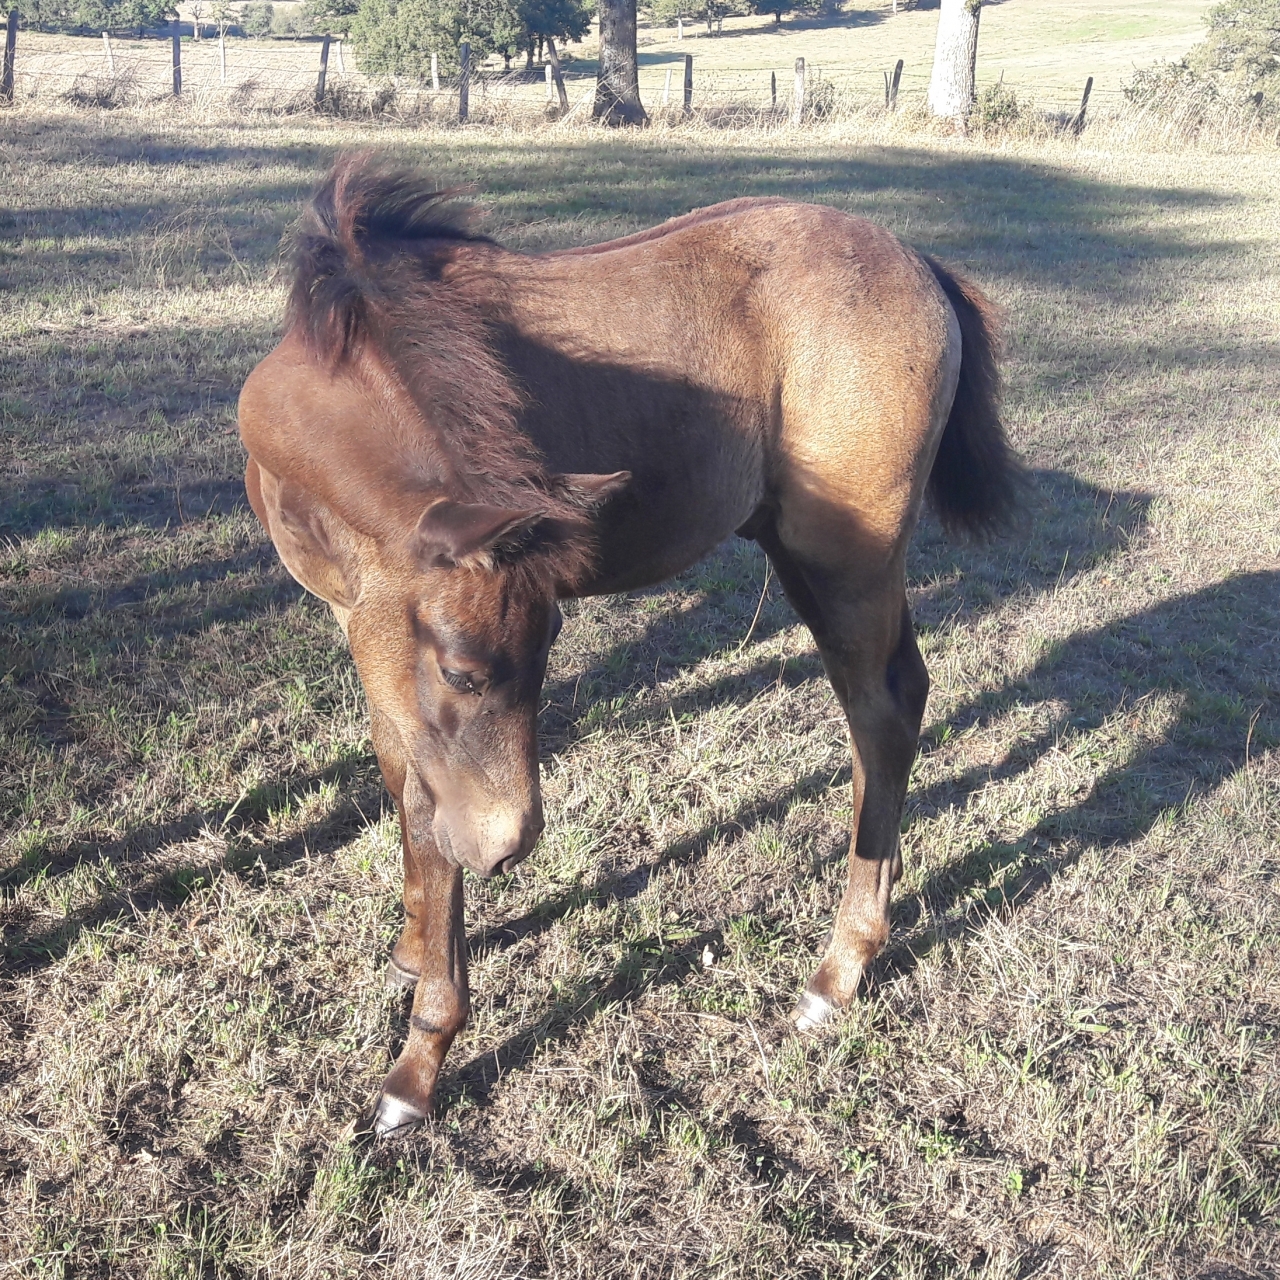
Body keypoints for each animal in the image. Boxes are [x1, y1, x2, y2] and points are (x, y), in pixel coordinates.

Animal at [238, 153, 1019, 1136]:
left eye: (511, 657)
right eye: (465, 667)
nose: (508, 847)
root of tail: (920, 264)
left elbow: (425, 805)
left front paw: (417, 1067)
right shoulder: (360, 632)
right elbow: (403, 784)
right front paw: (414, 949)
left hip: (844, 559)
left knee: (879, 715)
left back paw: (836, 975)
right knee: (905, 695)